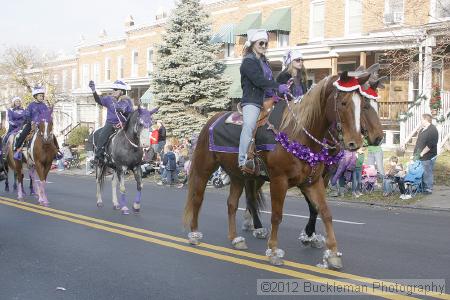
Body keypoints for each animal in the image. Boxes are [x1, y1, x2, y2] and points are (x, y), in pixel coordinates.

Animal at [182, 72, 370, 268]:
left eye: (363, 104)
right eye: (343, 103)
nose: (355, 142)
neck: (298, 135)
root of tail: (211, 120)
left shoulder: (312, 182)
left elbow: (324, 212)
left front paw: (332, 253)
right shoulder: (279, 181)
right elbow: (277, 216)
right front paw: (273, 251)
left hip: (238, 175)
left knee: (232, 204)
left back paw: (235, 239)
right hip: (204, 169)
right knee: (197, 198)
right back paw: (194, 234)